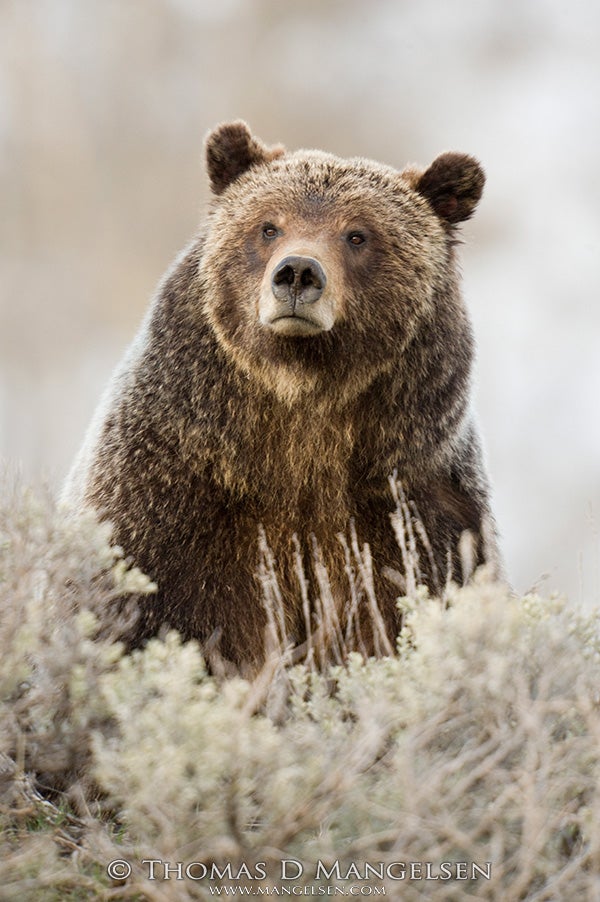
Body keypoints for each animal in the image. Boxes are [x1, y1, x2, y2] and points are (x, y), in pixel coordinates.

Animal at [62, 120, 502, 672]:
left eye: (357, 234)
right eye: (268, 226)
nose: (297, 272)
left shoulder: (417, 508)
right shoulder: (166, 494)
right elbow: (137, 609)